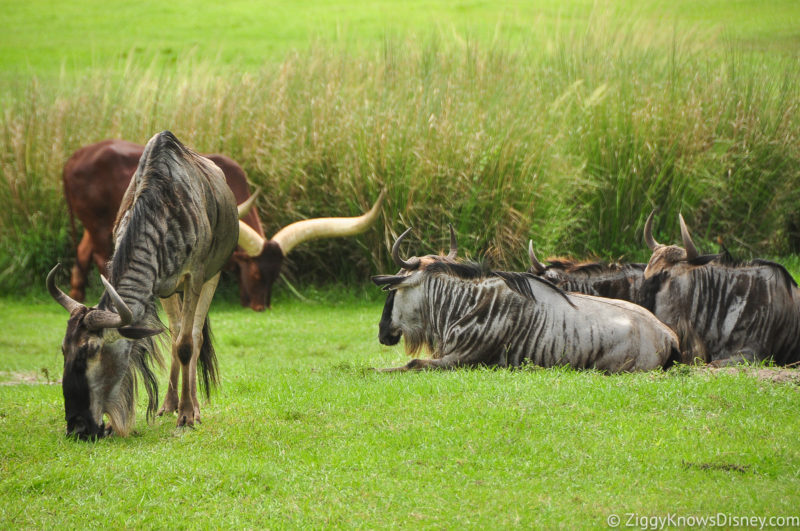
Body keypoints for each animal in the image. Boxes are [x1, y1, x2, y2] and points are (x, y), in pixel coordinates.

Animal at [46, 131, 239, 438]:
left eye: (91, 350)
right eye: (65, 349)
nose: (78, 427)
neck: (160, 210)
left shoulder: (195, 277)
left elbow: (187, 344)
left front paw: (187, 414)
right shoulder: (157, 286)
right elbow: (173, 340)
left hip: (213, 275)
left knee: (193, 337)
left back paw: (192, 407)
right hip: (170, 292)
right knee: (176, 333)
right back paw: (170, 404)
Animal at [372, 230, 680, 374]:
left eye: (391, 291)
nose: (382, 332)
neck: (467, 303)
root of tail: (667, 335)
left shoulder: (462, 360)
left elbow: (411, 364)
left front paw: (370, 370)